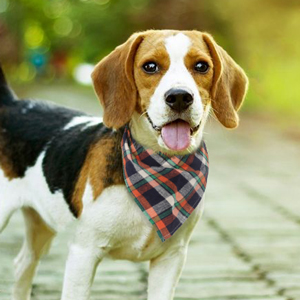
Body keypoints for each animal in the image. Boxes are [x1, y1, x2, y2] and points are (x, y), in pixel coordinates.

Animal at [0, 29, 248, 300]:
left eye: (202, 66)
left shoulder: (171, 258)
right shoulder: (83, 254)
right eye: (150, 66)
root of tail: (13, 105)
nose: (180, 97)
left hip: (41, 224)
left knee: (23, 263)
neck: (160, 166)